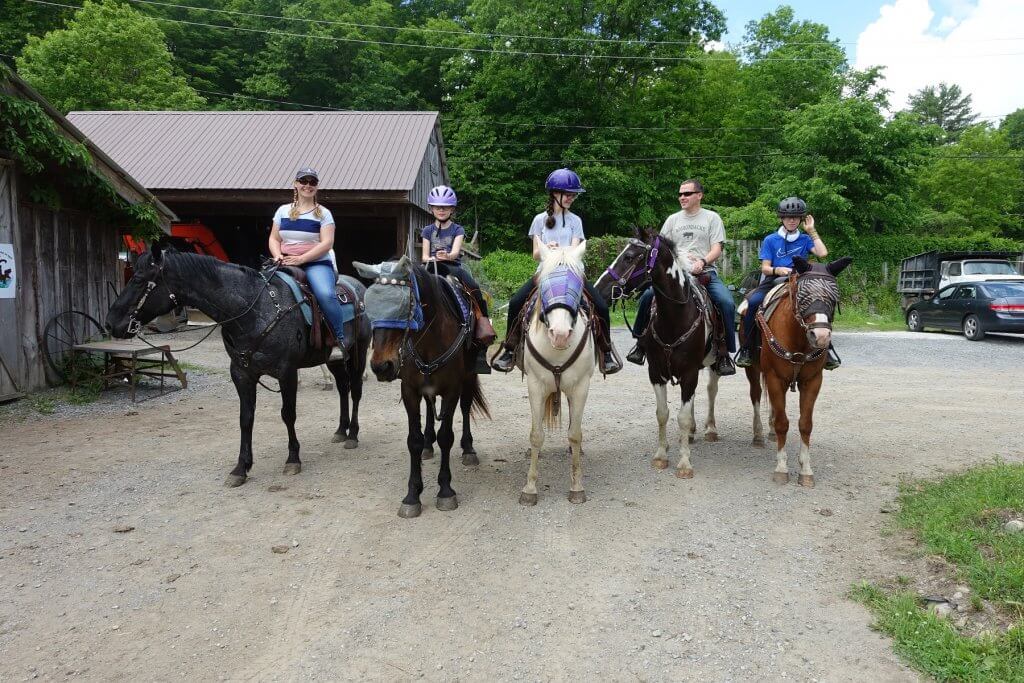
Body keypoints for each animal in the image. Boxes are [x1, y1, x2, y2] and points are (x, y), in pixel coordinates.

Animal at [107, 245, 372, 485]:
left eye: (139, 280)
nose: (110, 323)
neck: (255, 311)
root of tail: (357, 288)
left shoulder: (287, 373)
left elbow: (288, 414)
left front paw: (293, 459)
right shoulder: (241, 373)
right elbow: (246, 418)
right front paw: (240, 468)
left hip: (358, 352)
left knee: (356, 390)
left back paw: (353, 434)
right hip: (332, 359)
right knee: (343, 387)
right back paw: (341, 430)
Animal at [520, 242, 598, 505]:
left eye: (579, 284)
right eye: (543, 283)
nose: (561, 335)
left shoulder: (581, 387)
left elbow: (575, 434)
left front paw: (577, 487)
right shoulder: (535, 386)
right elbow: (536, 435)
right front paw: (529, 489)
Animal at [745, 255, 856, 485]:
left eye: (834, 297)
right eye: (803, 295)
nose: (820, 336)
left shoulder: (812, 381)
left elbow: (805, 424)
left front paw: (806, 471)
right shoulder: (774, 377)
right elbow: (782, 423)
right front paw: (781, 468)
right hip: (753, 370)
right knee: (756, 396)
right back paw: (759, 435)